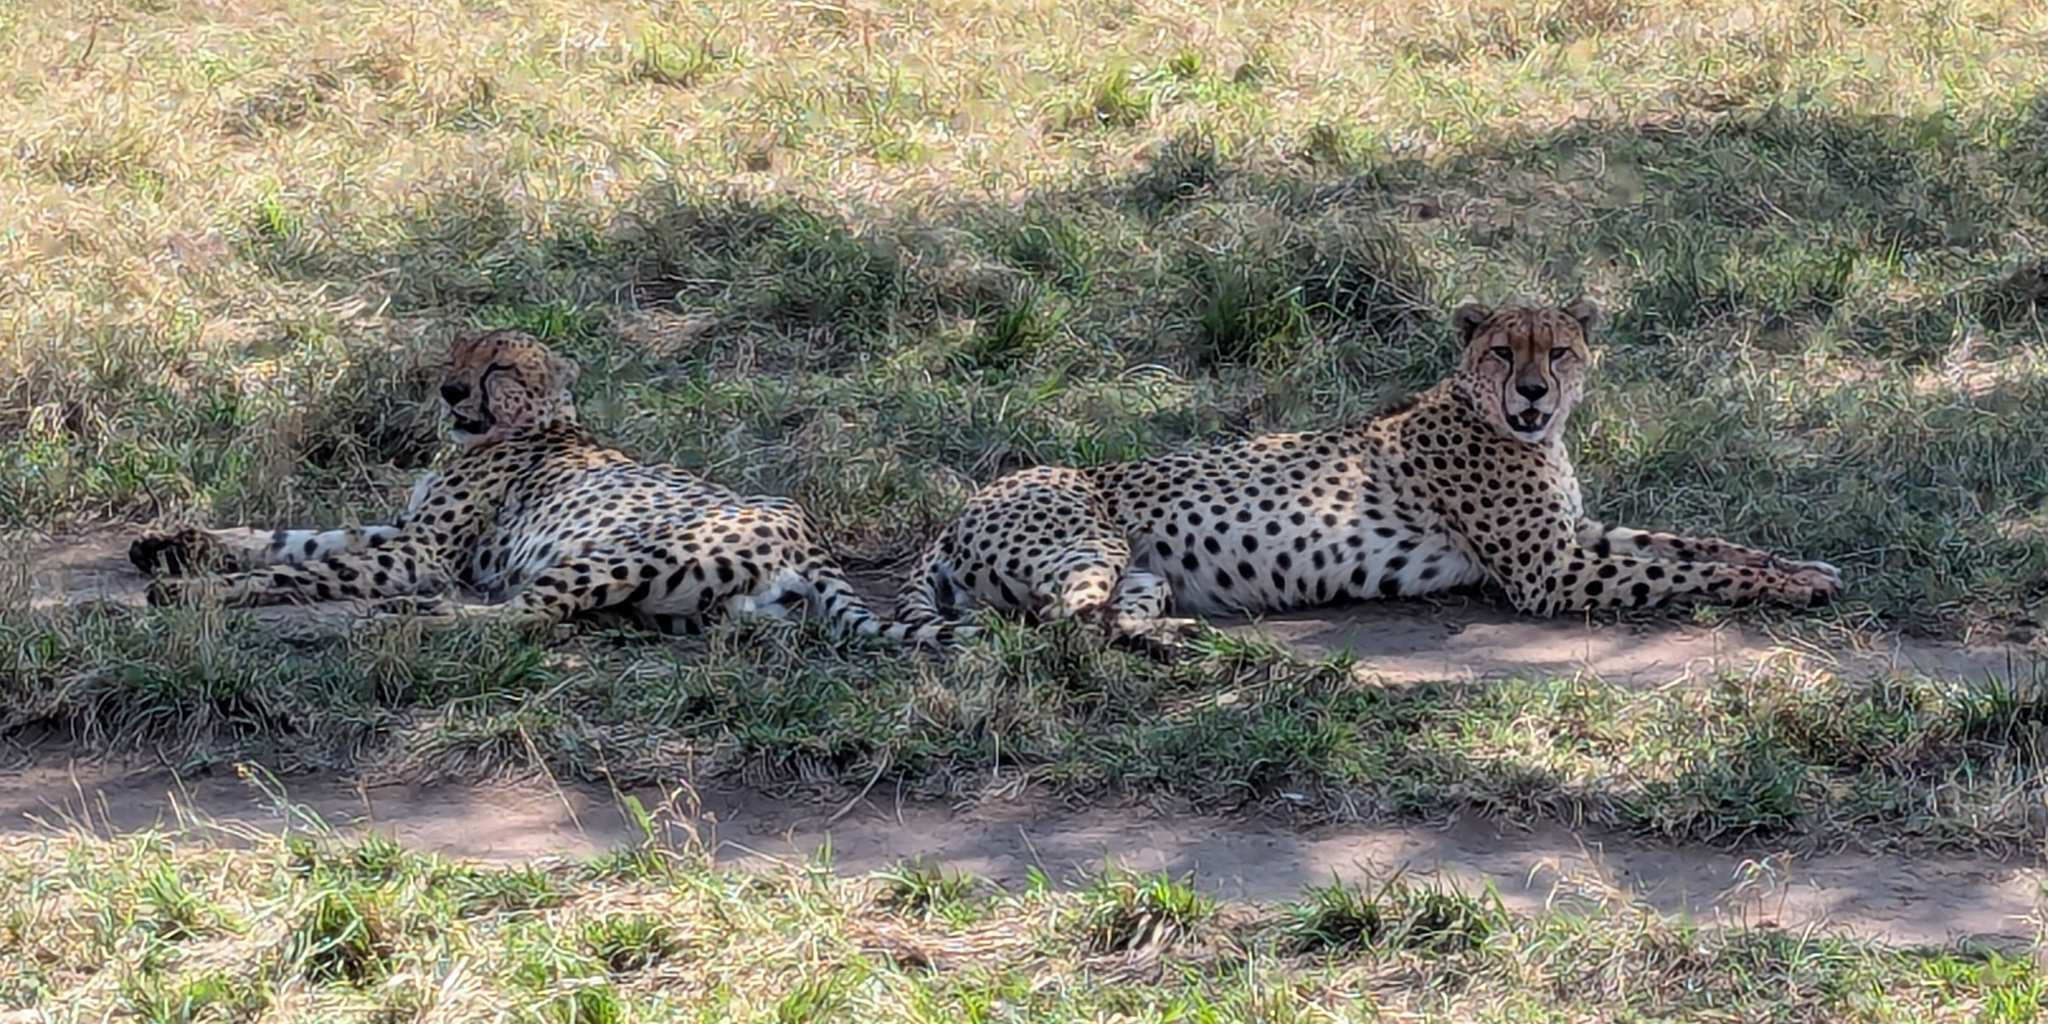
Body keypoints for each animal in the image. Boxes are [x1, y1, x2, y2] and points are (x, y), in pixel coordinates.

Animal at [131, 329, 958, 647]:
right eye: (458, 354)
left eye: (498, 367)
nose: (449, 391)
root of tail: (805, 529)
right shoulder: (402, 531)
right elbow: (291, 537)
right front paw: (172, 543)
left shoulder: (423, 553)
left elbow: (303, 568)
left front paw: (197, 591)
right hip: (692, 604)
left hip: (615, 554)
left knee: (522, 617)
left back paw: (415, 617)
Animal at [892, 298, 1843, 641]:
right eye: (1504, 351)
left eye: (1559, 350)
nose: (1534, 391)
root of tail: (961, 508)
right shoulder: (1550, 572)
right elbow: (1687, 568)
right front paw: (1793, 587)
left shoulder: (1574, 538)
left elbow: (1702, 545)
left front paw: (1801, 566)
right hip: (1088, 544)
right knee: (1061, 623)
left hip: (1144, 572)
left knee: (1109, 617)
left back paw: (1184, 642)